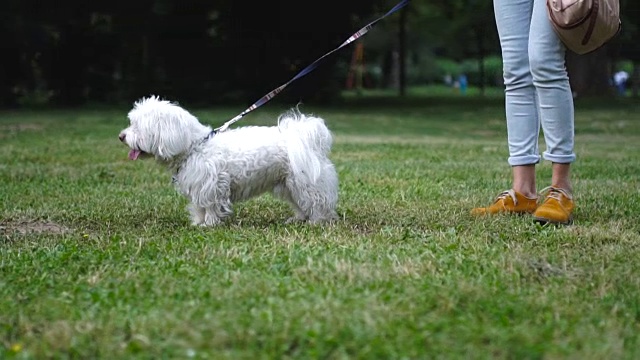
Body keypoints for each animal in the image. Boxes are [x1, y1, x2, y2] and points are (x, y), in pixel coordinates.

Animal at [120, 95, 340, 225]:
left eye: (138, 126)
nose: (121, 136)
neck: (195, 146)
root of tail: (302, 137)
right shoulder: (199, 186)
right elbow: (199, 207)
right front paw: (199, 223)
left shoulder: (212, 186)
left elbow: (210, 207)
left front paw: (209, 225)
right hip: (289, 183)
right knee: (301, 203)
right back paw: (299, 219)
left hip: (306, 182)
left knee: (318, 202)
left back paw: (317, 222)